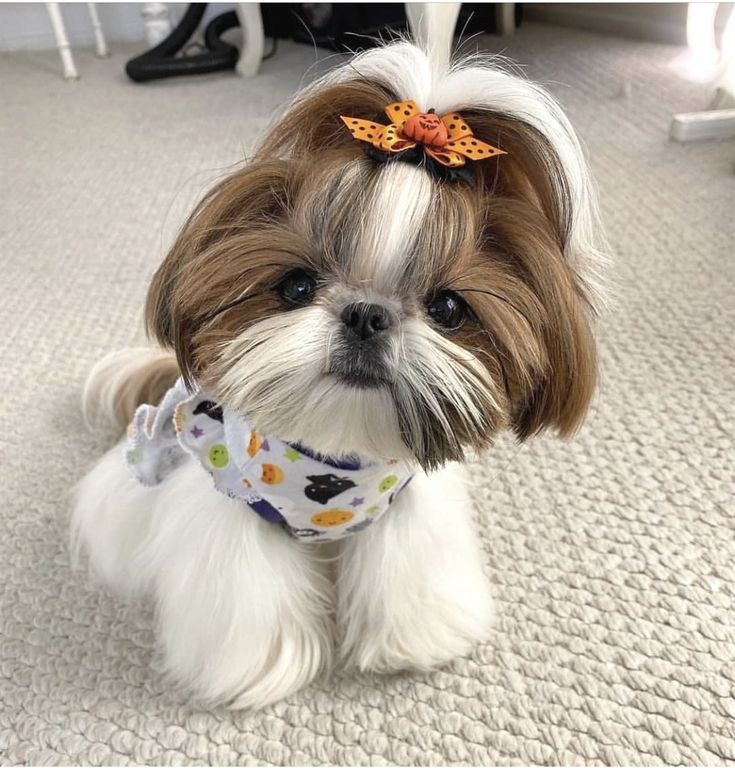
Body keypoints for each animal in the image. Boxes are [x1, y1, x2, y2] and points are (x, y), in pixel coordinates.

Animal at [72, 10, 608, 708]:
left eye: (448, 308)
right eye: (297, 285)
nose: (366, 314)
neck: (333, 457)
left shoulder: (406, 508)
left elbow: (406, 572)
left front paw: (415, 642)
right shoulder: (234, 515)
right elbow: (248, 596)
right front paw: (261, 668)